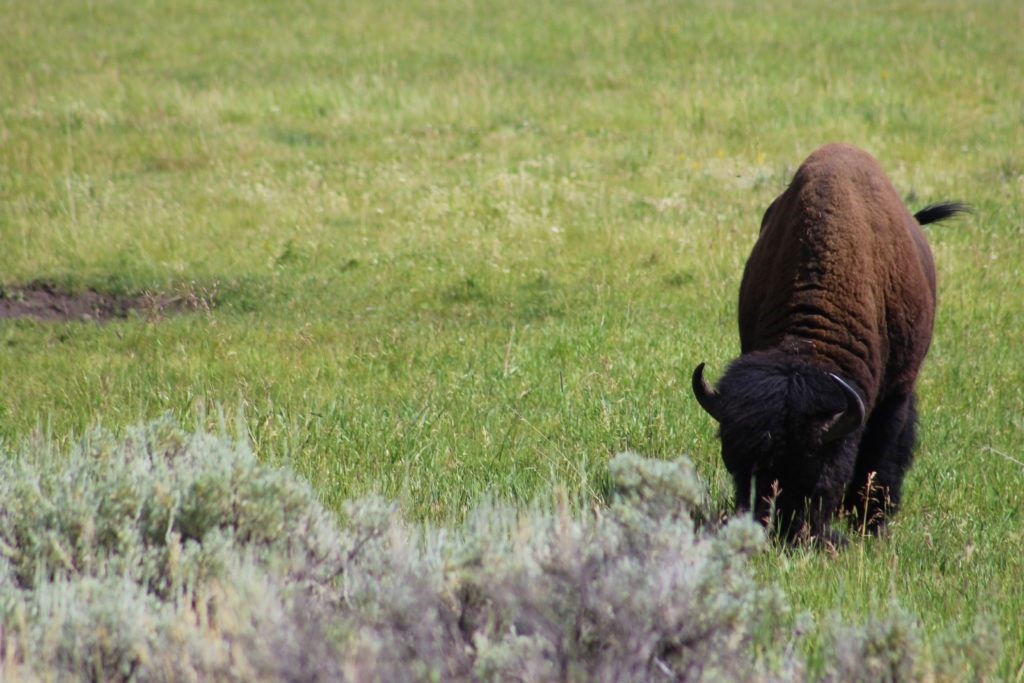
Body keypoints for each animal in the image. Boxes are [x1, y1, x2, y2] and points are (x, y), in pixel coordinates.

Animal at [692, 143, 962, 544]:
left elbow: (882, 455)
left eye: (817, 471)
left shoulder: (895, 394)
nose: (781, 533)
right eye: (735, 464)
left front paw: (872, 526)